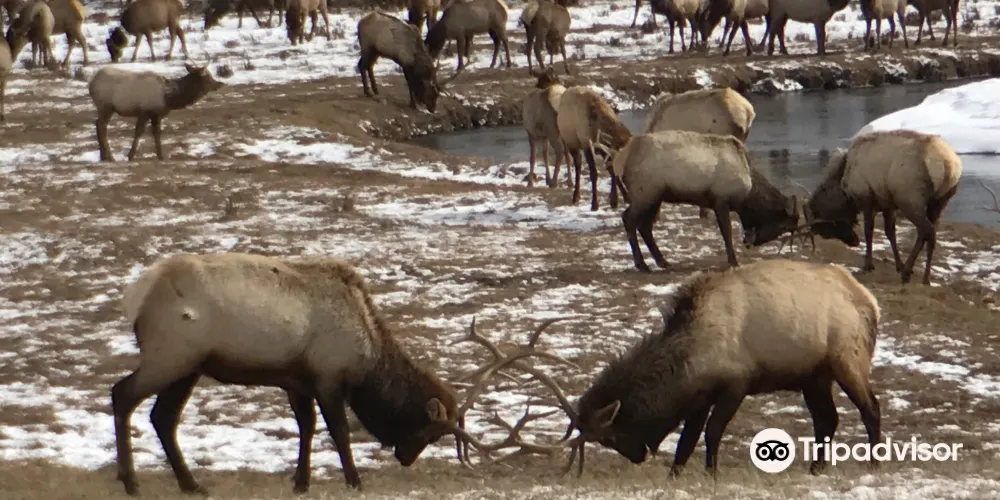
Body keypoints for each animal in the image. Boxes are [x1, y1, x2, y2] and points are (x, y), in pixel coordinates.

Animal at [89, 64, 224, 163]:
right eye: (207, 77)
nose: (219, 84)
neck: (168, 98)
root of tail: (91, 83)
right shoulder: (144, 111)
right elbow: (139, 132)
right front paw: (130, 156)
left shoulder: (157, 114)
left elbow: (157, 133)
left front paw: (161, 156)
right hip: (106, 106)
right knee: (101, 126)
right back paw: (109, 157)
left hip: (105, 108)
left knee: (98, 124)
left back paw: (103, 156)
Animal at [112, 252, 491, 495]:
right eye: (427, 431)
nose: (405, 458)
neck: (367, 354)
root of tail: (136, 297)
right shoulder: (328, 377)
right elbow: (338, 431)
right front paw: (355, 480)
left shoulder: (298, 381)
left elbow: (306, 427)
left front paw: (301, 481)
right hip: (172, 356)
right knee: (122, 394)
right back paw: (132, 482)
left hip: (187, 367)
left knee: (162, 417)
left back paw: (191, 484)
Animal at [560, 258, 882, 478]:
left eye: (608, 437)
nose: (639, 455)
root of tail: (871, 303)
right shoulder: (700, 397)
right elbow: (687, 440)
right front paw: (674, 475)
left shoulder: (736, 383)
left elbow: (712, 432)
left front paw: (711, 473)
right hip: (814, 376)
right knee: (827, 419)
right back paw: (816, 468)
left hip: (847, 359)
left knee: (871, 406)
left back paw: (874, 462)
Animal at [612, 129, 799, 270]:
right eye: (783, 226)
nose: (750, 243)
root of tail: (623, 159)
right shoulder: (721, 200)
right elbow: (726, 233)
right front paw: (733, 261)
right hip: (646, 193)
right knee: (628, 218)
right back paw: (642, 264)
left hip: (655, 197)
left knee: (644, 226)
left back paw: (662, 261)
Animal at [804, 130, 962, 285]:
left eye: (826, 229)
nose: (854, 241)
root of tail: (948, 166)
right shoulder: (888, 204)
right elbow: (890, 233)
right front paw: (898, 265)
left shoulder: (867, 199)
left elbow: (869, 231)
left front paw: (868, 265)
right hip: (940, 202)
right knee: (931, 233)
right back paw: (924, 277)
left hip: (909, 199)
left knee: (925, 230)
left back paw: (907, 273)